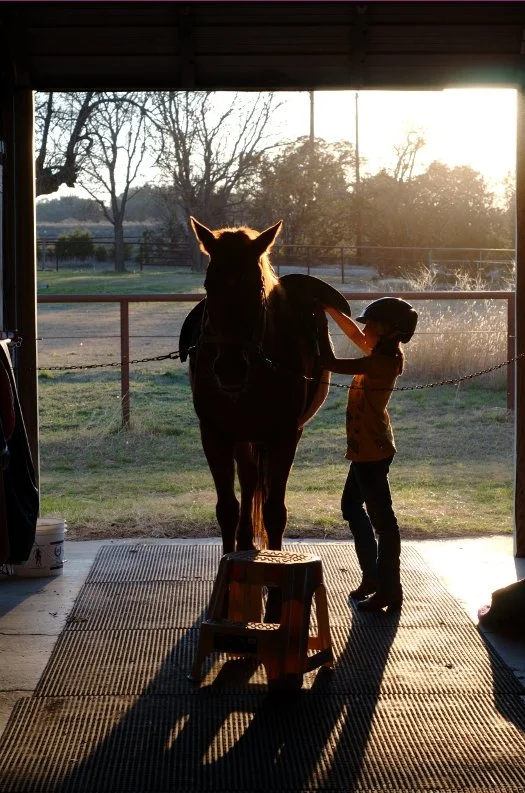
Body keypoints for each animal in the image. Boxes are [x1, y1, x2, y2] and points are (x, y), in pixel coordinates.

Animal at [180, 217, 350, 556]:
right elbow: (227, 509)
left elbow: (274, 511)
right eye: (209, 285)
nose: (230, 369)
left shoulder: (283, 435)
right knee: (248, 481)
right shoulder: (215, 435)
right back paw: (245, 542)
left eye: (257, 287)